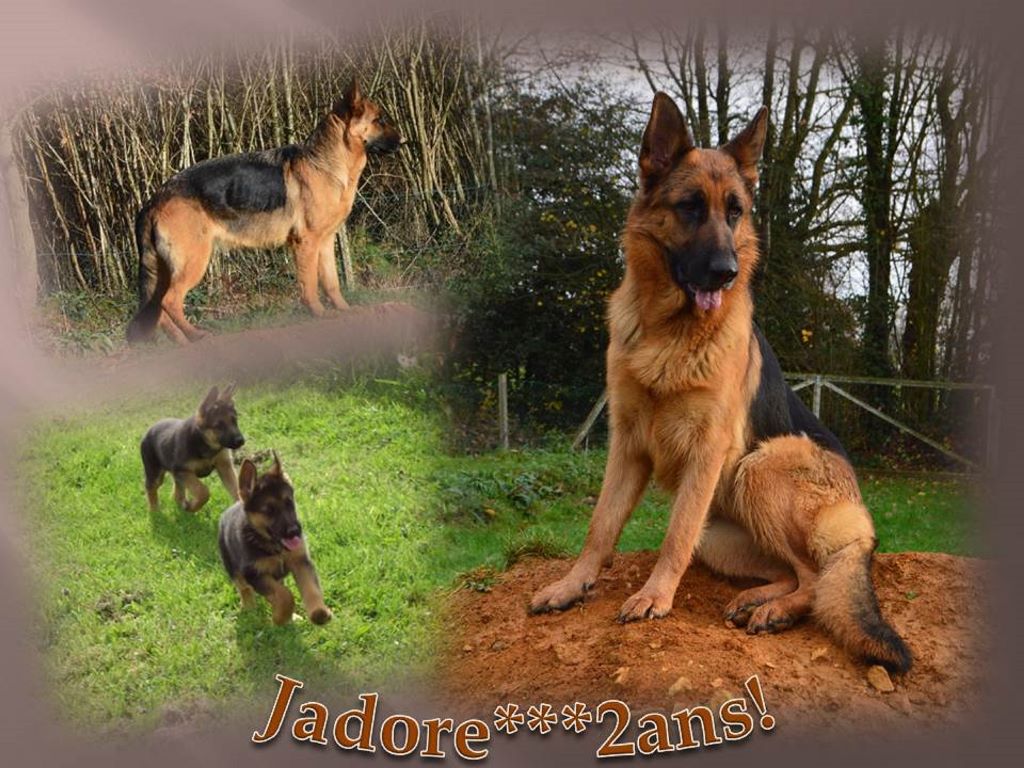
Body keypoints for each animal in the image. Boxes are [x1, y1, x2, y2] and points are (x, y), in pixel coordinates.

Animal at [125, 79, 401, 344]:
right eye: (379, 120)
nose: (404, 141)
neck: (325, 163)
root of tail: (153, 200)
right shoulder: (306, 243)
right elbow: (310, 286)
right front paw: (318, 314)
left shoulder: (325, 242)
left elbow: (332, 283)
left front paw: (344, 311)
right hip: (194, 262)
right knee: (169, 301)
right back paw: (196, 335)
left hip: (167, 271)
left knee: (159, 311)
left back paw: (182, 343)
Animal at [140, 382, 243, 512]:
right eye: (218, 426)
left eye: (234, 421)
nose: (241, 441)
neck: (204, 442)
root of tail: (149, 430)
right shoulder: (183, 471)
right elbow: (203, 491)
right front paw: (193, 507)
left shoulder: (225, 466)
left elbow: (235, 488)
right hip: (155, 474)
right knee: (150, 488)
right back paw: (155, 511)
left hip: (175, 474)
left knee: (177, 489)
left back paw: (180, 503)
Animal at [219, 454, 331, 626]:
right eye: (268, 510)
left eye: (289, 503)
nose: (294, 532)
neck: (274, 548)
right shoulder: (254, 574)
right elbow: (285, 595)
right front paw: (280, 618)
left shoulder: (301, 561)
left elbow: (310, 588)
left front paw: (319, 613)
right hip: (234, 569)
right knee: (244, 589)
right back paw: (249, 609)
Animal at [528, 94, 913, 671]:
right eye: (689, 206)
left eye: (735, 212)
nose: (726, 271)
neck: (671, 333)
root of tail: (860, 522)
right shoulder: (626, 445)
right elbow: (601, 526)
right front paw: (573, 585)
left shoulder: (708, 452)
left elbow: (674, 534)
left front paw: (654, 596)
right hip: (721, 535)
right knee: (792, 572)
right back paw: (758, 598)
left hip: (757, 466)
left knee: (815, 577)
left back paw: (776, 611)